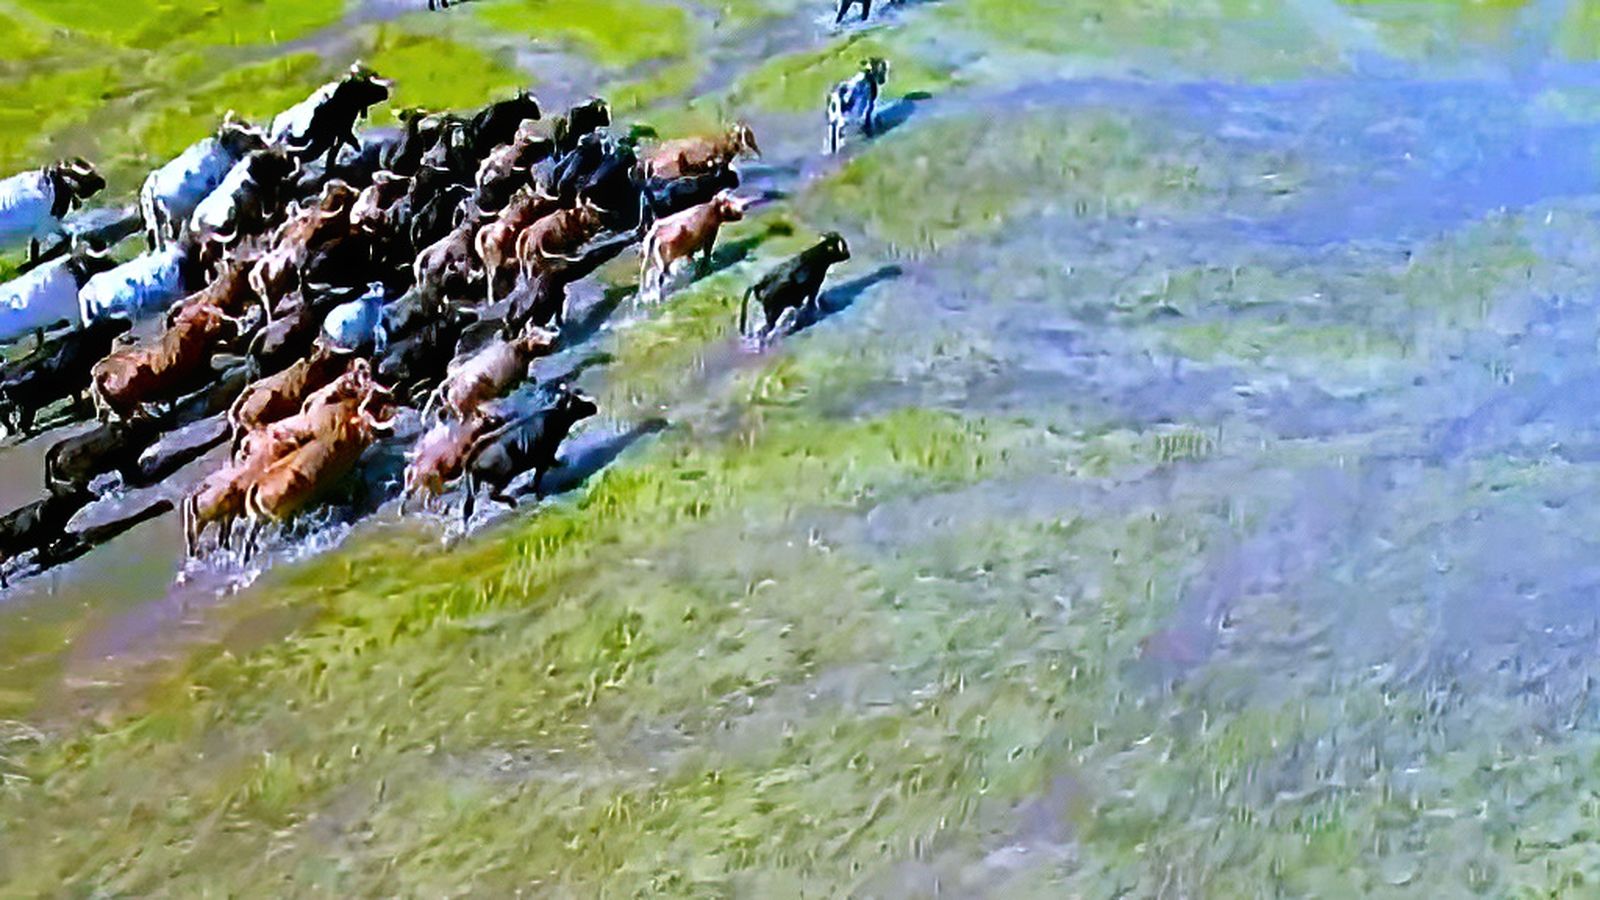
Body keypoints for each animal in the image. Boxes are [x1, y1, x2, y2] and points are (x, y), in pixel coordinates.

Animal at [0, 316, 130, 436]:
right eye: (109, 323)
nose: (127, 321)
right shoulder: (76, 385)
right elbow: (80, 400)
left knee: (20, 423)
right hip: (28, 407)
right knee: (22, 423)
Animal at [459, 387, 597, 523]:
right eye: (576, 402)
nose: (593, 406)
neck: (557, 416)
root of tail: (470, 461)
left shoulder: (548, 457)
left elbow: (552, 466)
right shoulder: (543, 459)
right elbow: (537, 479)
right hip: (504, 476)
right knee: (492, 494)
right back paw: (513, 503)